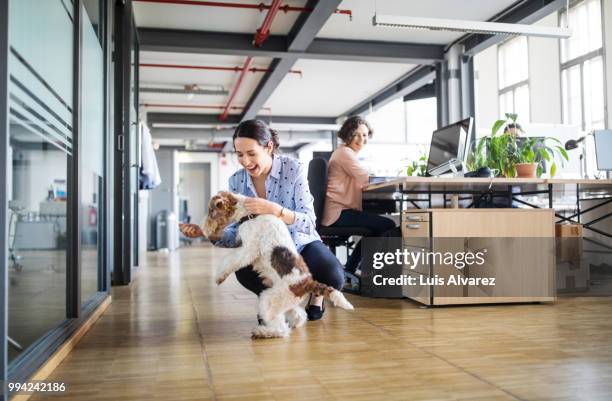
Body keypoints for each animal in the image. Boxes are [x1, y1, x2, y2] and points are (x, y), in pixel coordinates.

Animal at [180, 191, 354, 338]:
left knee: (281, 329)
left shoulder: (248, 250)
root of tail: (308, 283)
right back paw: (292, 322)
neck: (250, 214)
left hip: (269, 300)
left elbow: (230, 260)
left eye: (211, 211)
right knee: (297, 315)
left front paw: (219, 277)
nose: (202, 228)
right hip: (279, 299)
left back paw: (262, 332)